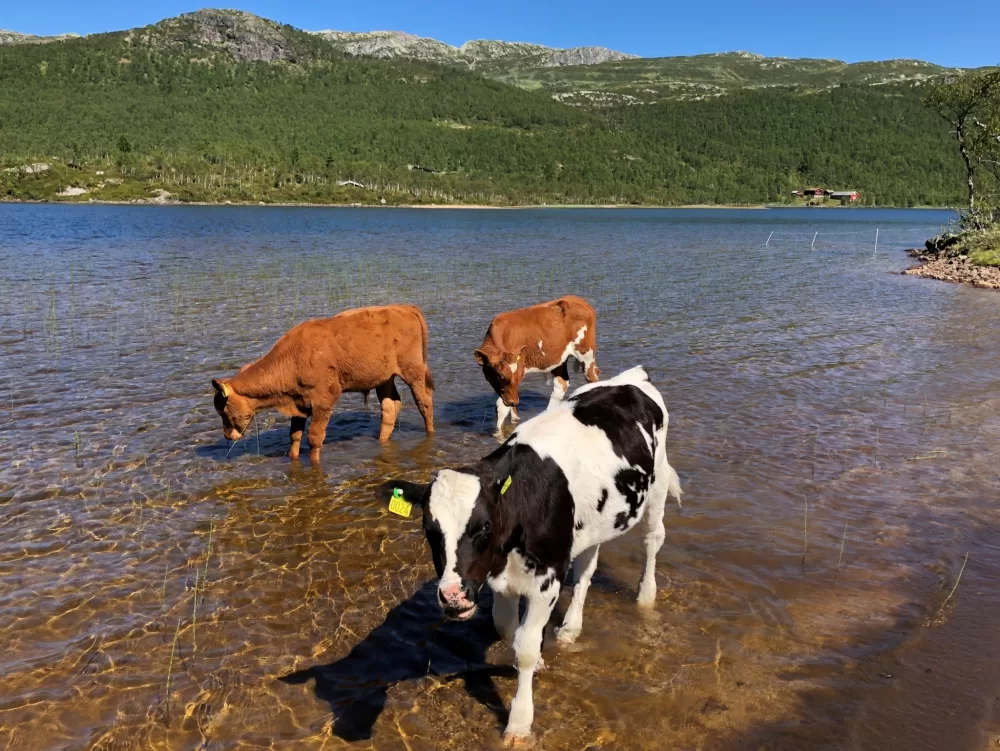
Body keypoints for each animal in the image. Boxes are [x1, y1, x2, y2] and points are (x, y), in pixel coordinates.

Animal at [211, 302, 434, 462]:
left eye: (223, 408)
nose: (227, 436)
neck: (292, 358)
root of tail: (405, 307)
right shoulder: (298, 402)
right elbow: (295, 436)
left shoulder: (324, 400)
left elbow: (314, 438)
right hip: (384, 378)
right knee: (390, 406)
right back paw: (382, 439)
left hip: (413, 370)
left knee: (424, 402)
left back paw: (430, 433)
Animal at [378, 366, 684, 748]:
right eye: (429, 529)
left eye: (484, 525)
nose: (453, 597)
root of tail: (633, 377)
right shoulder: (502, 579)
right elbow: (508, 627)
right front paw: (537, 659)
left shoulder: (547, 578)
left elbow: (523, 646)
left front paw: (520, 723)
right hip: (595, 520)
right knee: (587, 569)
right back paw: (571, 628)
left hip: (657, 484)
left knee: (653, 540)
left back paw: (646, 597)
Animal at [472, 296, 596, 432]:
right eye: (500, 376)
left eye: (516, 376)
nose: (514, 401)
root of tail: (578, 299)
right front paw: (514, 419)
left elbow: (501, 407)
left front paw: (498, 432)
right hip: (559, 358)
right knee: (561, 384)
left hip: (586, 352)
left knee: (592, 377)